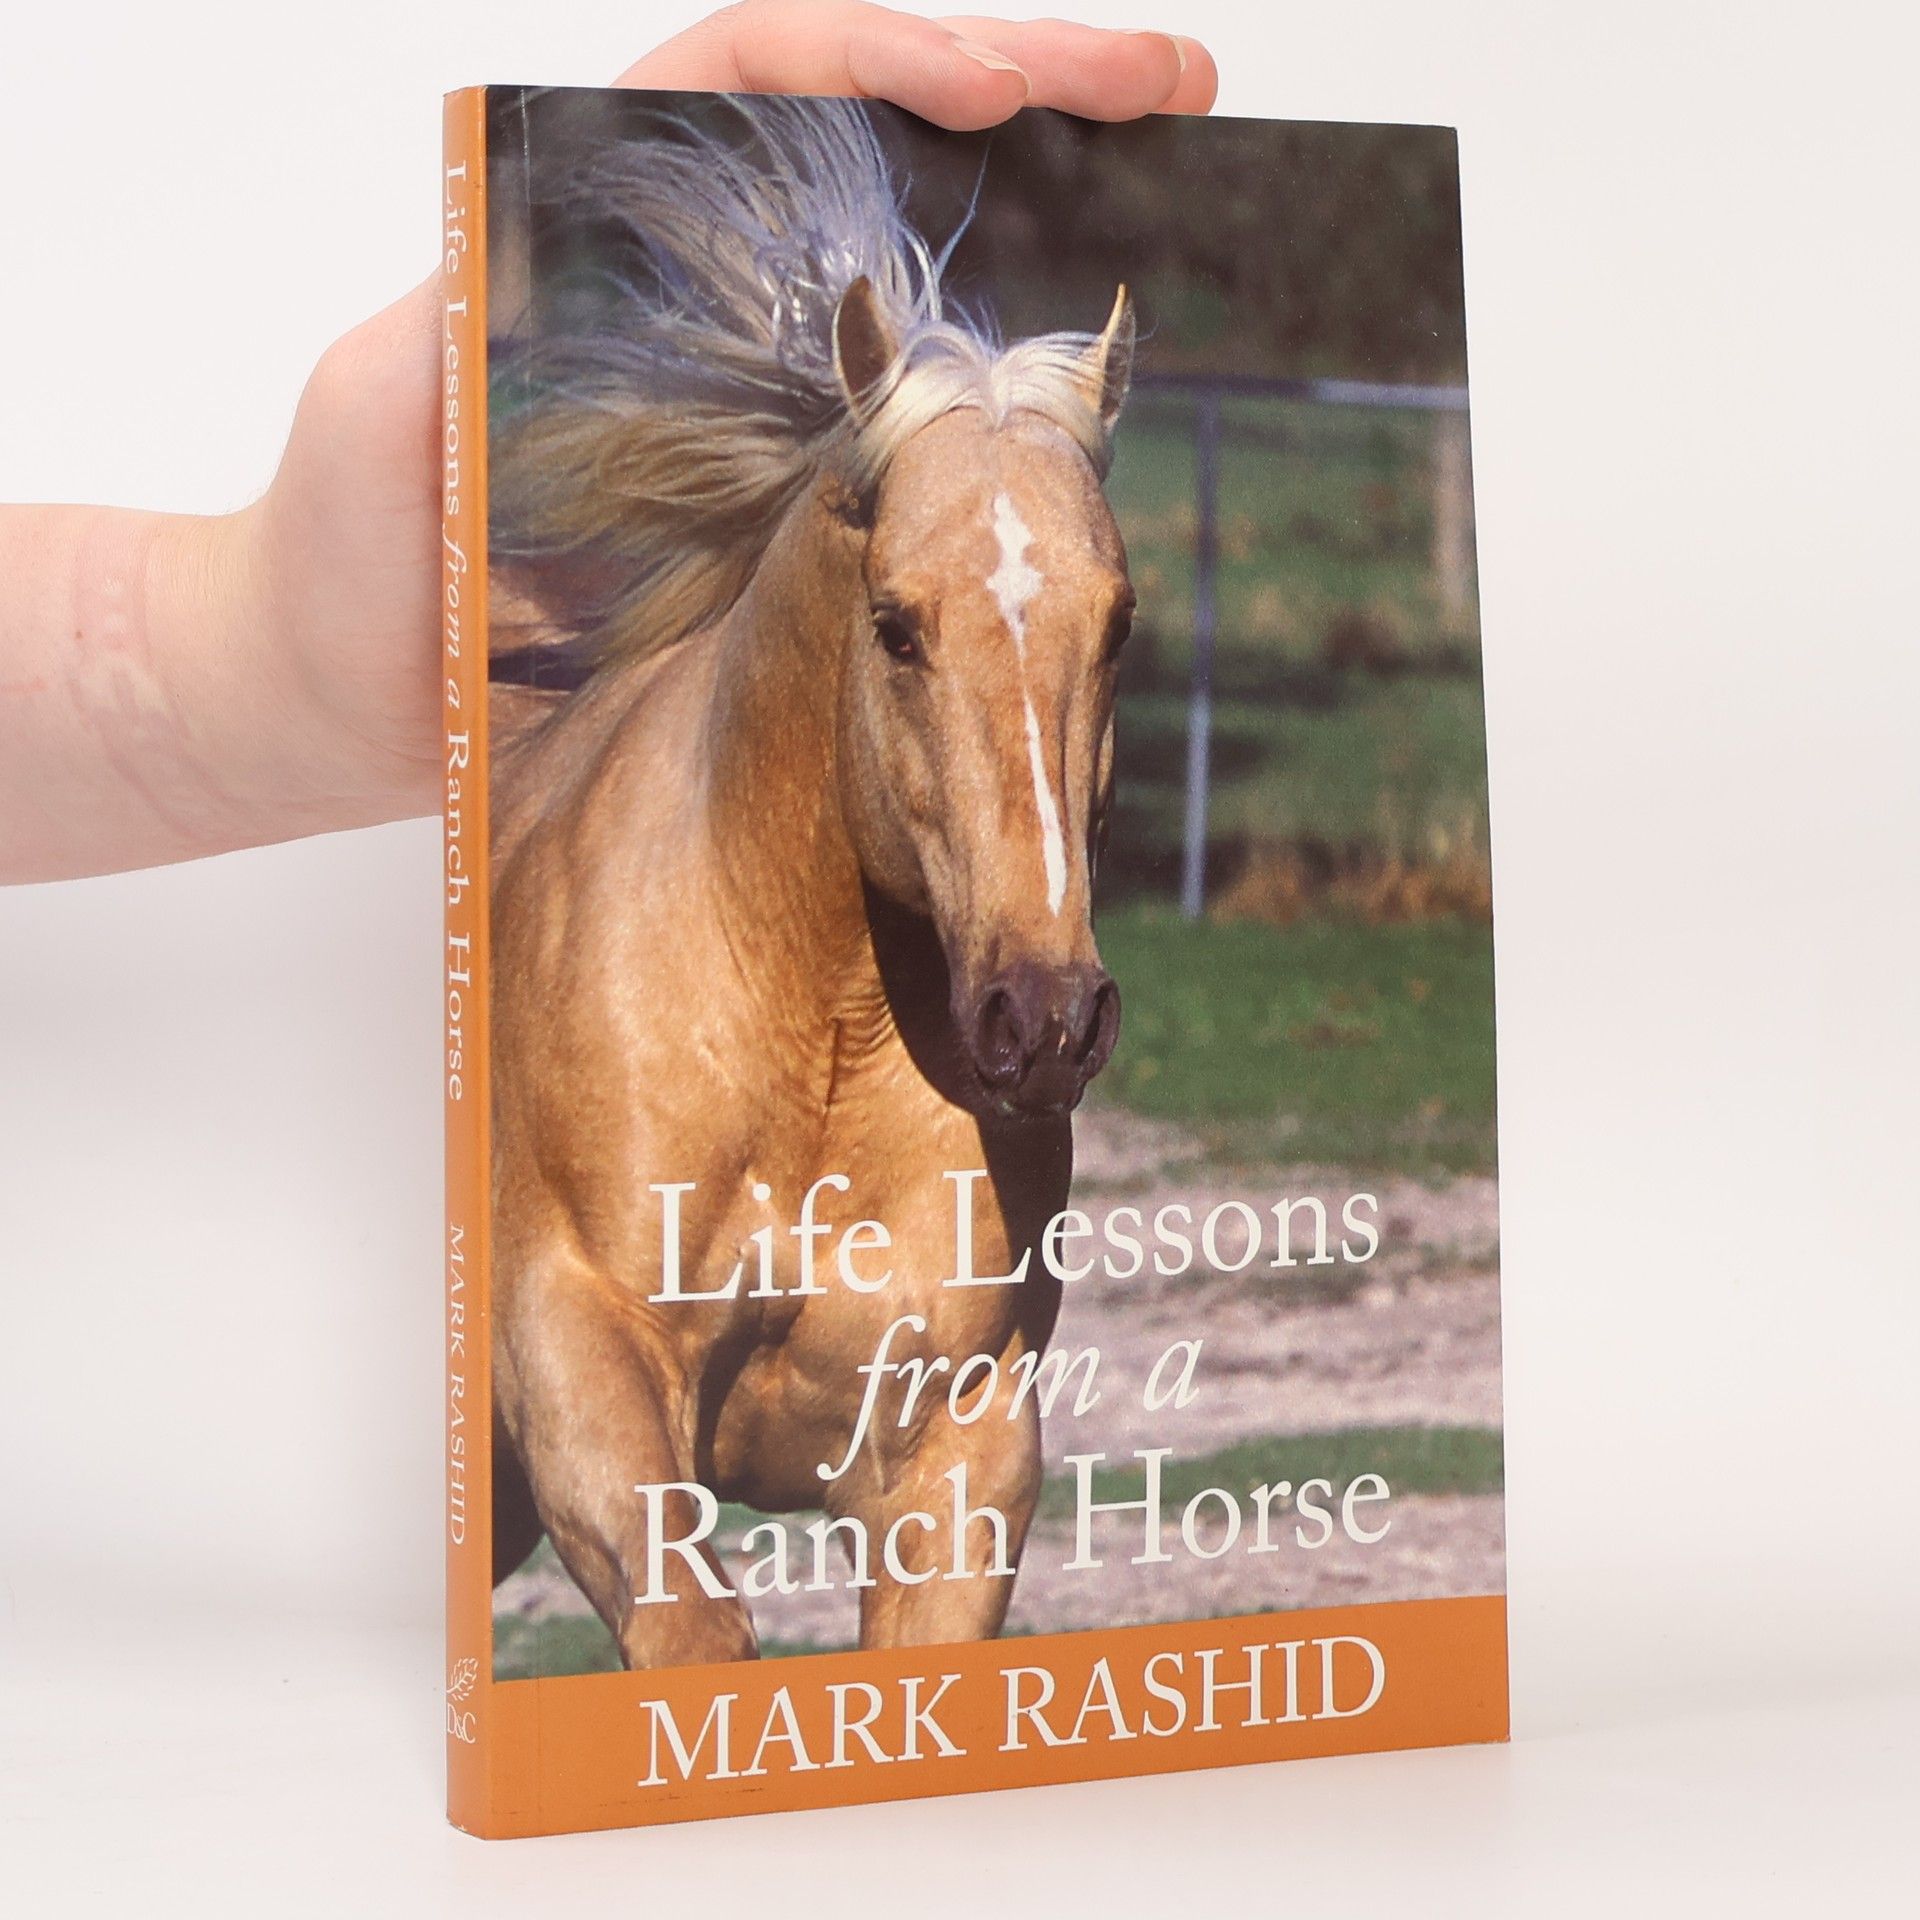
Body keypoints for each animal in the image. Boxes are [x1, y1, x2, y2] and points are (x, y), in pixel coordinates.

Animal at [487, 99, 1136, 1668]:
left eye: (1122, 621)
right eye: (895, 625)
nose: (1043, 1019)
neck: (810, 1038)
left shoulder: (960, 1454)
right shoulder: (582, 1385)